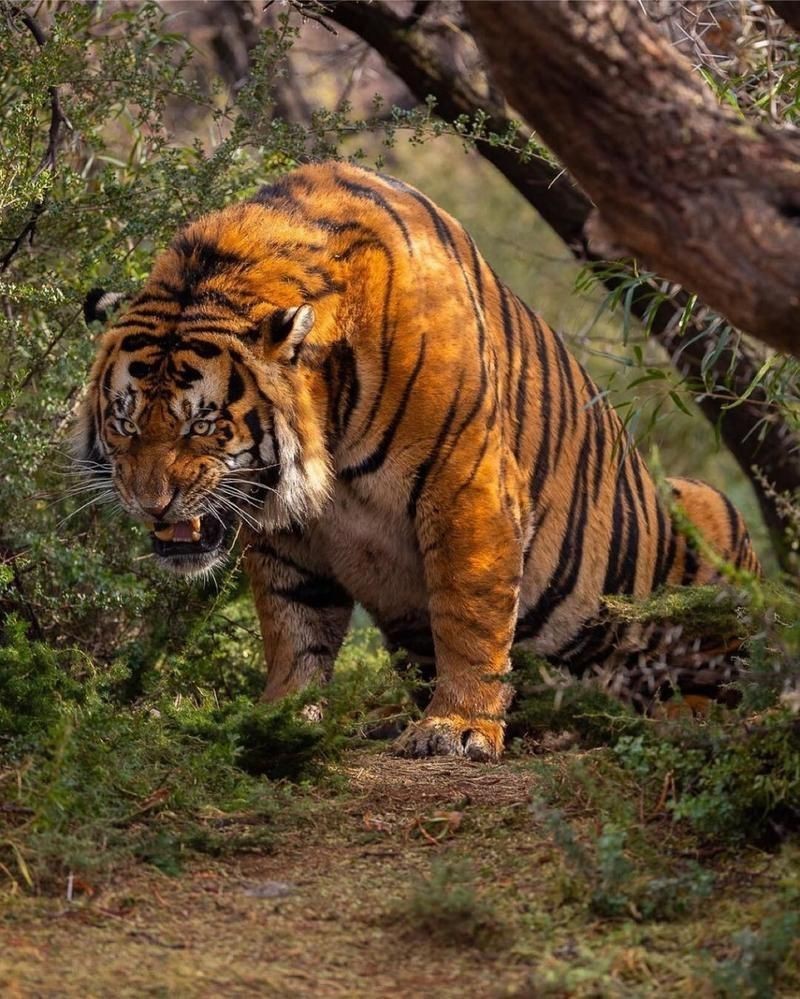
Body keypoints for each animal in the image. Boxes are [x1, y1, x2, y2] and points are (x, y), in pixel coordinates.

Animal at [75, 160, 760, 761]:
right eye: (124, 421)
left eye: (202, 424)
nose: (149, 502)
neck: (329, 421)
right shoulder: (289, 530)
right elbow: (293, 624)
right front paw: (280, 717)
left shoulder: (467, 488)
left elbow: (468, 617)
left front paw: (457, 728)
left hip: (711, 524)